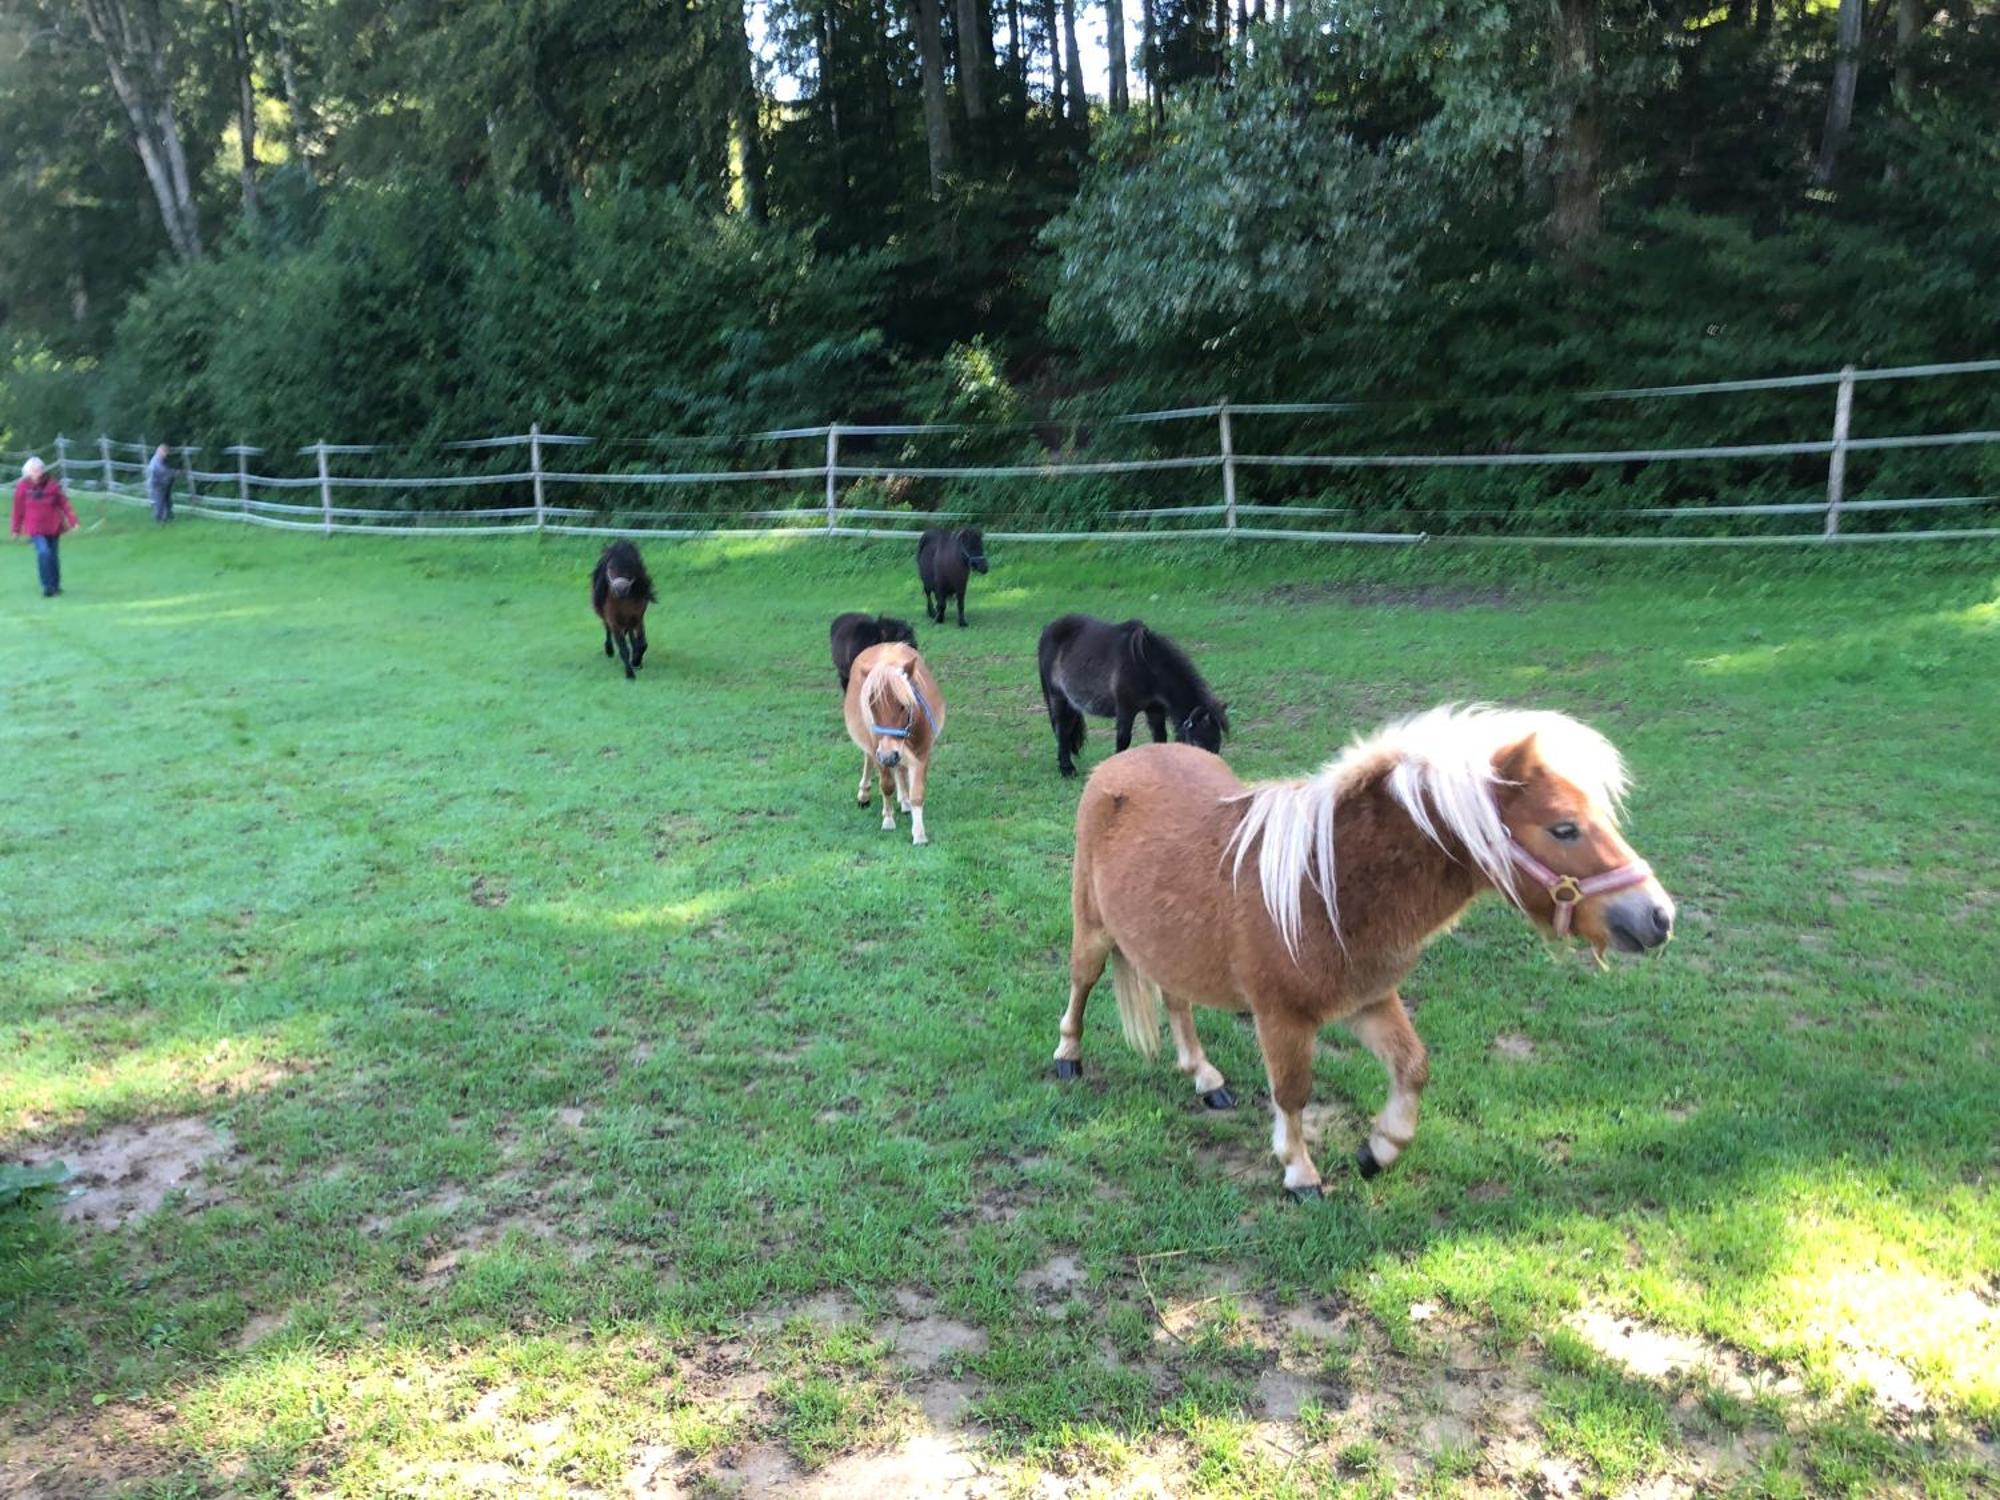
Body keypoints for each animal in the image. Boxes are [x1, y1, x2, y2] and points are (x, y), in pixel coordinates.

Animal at [592, 540, 656, 680]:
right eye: (610, 567)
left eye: (631, 567)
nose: (620, 589)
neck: (623, 600)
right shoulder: (614, 621)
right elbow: (623, 648)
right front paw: (630, 674)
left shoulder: (638, 618)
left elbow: (643, 643)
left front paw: (636, 661)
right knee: (608, 629)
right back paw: (609, 650)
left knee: (631, 634)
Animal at [836, 644, 944, 848]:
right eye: (872, 706)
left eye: (904, 705)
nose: (888, 755)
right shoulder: (879, 751)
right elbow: (886, 785)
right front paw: (888, 820)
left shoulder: (922, 754)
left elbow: (917, 793)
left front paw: (919, 834)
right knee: (869, 760)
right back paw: (864, 795)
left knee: (899, 769)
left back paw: (905, 801)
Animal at [1040, 612, 1224, 780]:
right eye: (1199, 743)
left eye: (1217, 745)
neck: (1145, 666)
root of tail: (1049, 628)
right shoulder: (1126, 709)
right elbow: (1123, 740)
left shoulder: (1155, 710)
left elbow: (1160, 738)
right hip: (1057, 696)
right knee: (1062, 730)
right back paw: (1067, 770)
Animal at [1056, 712, 1680, 1208]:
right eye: (1564, 828)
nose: (1659, 917)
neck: (1325, 883)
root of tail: (1118, 766)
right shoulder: (1282, 1017)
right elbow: (1293, 1092)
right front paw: (1300, 1172)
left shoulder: (1370, 999)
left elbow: (1413, 1067)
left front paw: (1378, 1151)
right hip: (1093, 929)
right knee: (1082, 984)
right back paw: (1068, 1058)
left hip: (1169, 942)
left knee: (1176, 1000)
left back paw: (1204, 1078)